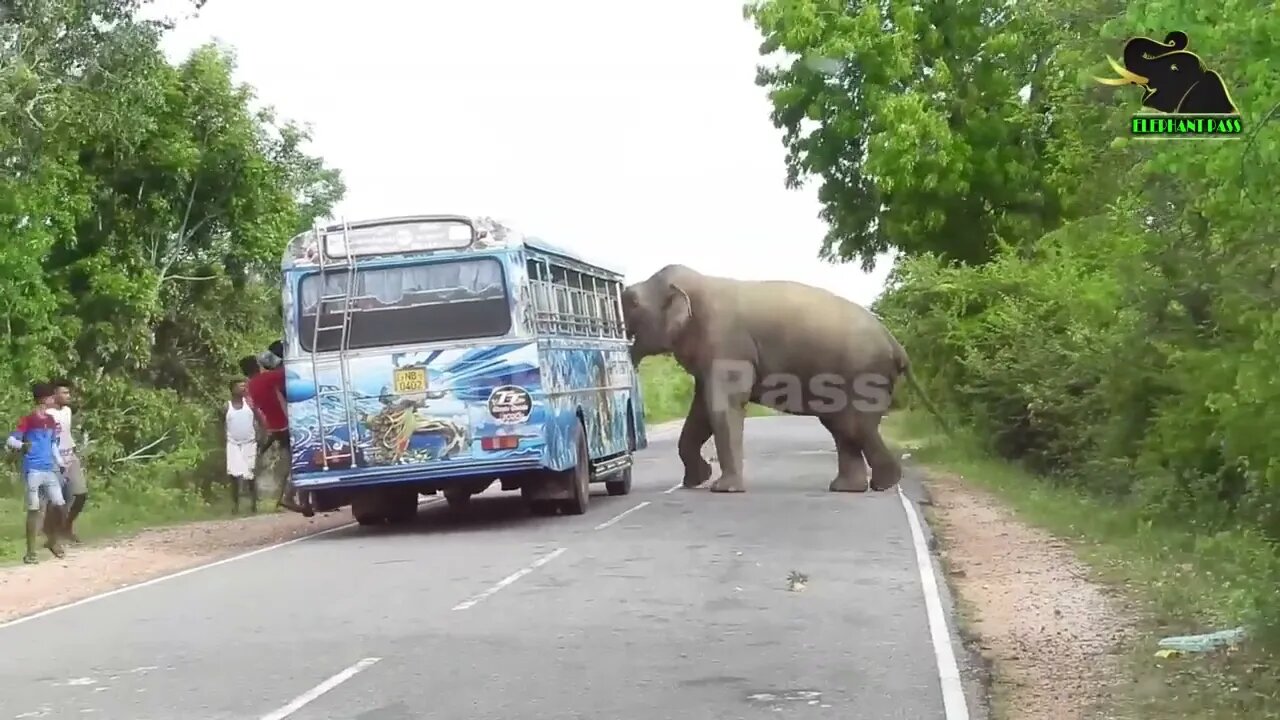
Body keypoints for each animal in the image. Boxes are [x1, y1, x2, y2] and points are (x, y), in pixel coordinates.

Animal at [624, 263, 947, 491]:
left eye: (631, 301)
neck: (698, 283)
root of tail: (896, 344)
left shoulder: (727, 344)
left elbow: (723, 406)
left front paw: (723, 489)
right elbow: (701, 411)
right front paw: (696, 481)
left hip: (864, 374)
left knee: (854, 426)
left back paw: (883, 485)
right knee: (842, 427)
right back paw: (849, 489)